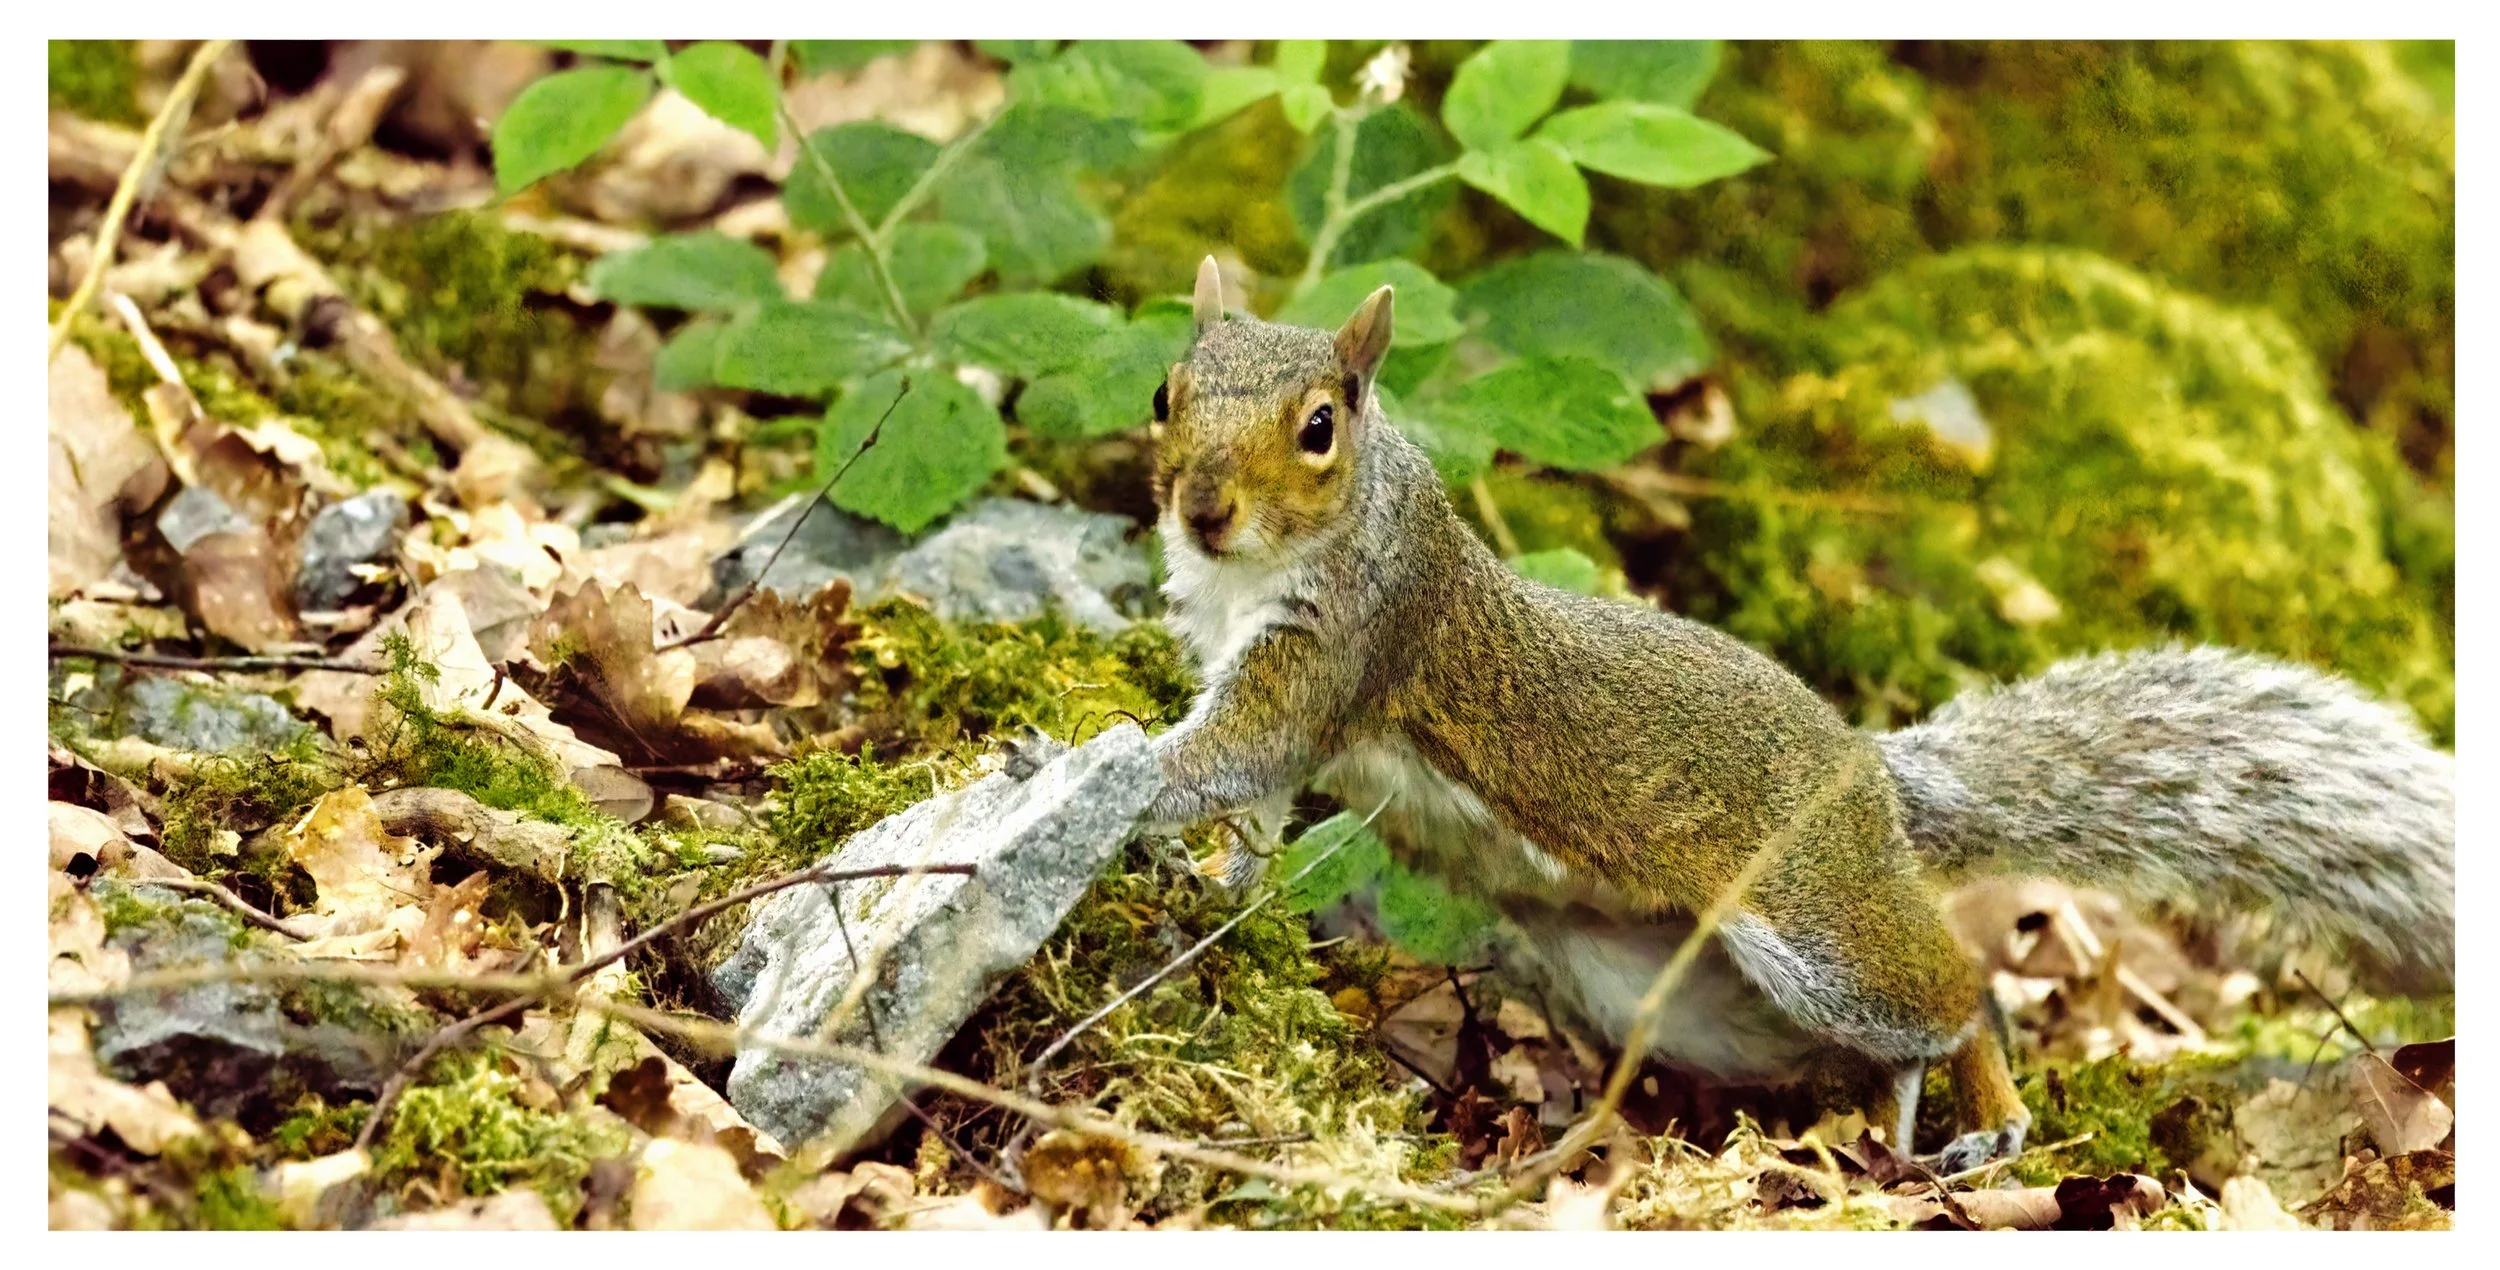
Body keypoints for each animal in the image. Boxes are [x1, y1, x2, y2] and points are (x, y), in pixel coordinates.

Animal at [1139, 256, 2456, 1170]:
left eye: (1319, 427)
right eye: (1164, 392)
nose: (1199, 507)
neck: (1262, 565)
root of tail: (1873, 778)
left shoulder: (1352, 640)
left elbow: (1234, 752)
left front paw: (1103, 774)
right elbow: (1251, 806)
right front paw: (1206, 892)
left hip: (1816, 926)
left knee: (1956, 995)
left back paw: (1988, 1121)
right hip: (1667, 987)